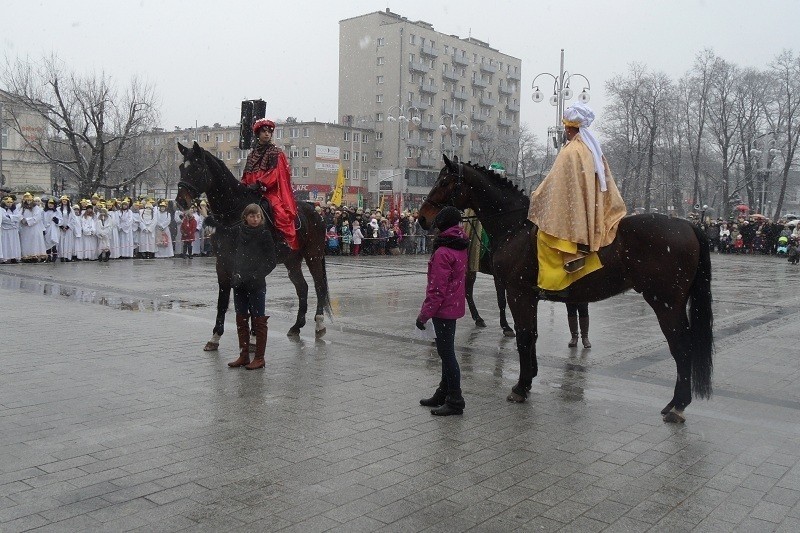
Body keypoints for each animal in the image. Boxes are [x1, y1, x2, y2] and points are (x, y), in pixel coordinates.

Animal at [177, 141, 332, 348]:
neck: (234, 215)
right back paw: (296, 326)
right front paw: (216, 336)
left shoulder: (252, 262)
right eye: (181, 167)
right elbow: (223, 299)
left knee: (319, 286)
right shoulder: (223, 263)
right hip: (292, 260)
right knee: (302, 287)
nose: (180, 200)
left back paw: (319, 324)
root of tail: (315, 211)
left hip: (314, 255)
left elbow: (253, 297)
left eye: (197, 168)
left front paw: (252, 335)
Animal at [418, 156, 712, 422]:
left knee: (681, 347)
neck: (516, 227)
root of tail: (686, 224)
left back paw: (677, 405)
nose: (422, 218)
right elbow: (532, 336)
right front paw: (529, 378)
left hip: (665, 303)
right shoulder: (529, 297)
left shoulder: (518, 294)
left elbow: (524, 337)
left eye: (444, 182)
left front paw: (521, 387)